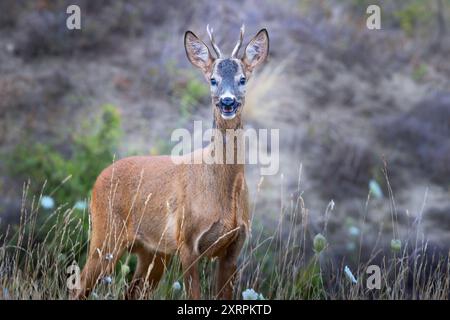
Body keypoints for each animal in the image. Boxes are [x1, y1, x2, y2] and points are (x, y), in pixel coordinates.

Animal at [73, 25, 268, 300]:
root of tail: (99, 177)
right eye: (213, 79)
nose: (227, 102)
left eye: (243, 79)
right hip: (106, 235)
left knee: (131, 292)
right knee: (79, 287)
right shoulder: (187, 240)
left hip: (153, 252)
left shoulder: (234, 248)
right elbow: (194, 294)